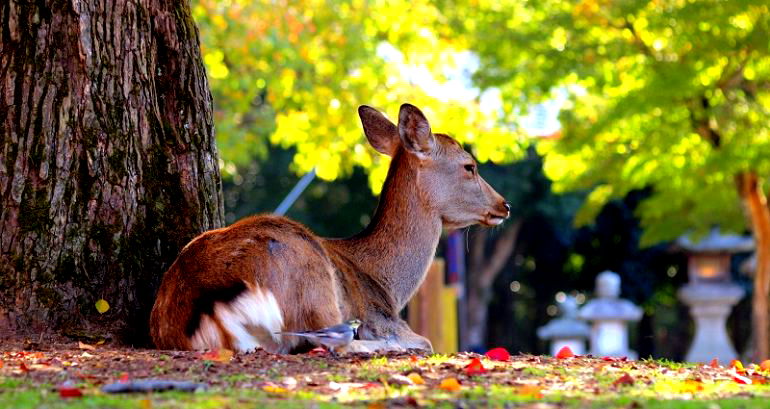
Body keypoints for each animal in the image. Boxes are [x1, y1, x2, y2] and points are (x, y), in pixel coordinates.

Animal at [149, 103, 510, 354]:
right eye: (469, 166)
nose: (504, 205)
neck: (387, 285)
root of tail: (205, 308)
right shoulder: (382, 318)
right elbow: (426, 341)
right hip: (312, 281)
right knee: (332, 341)